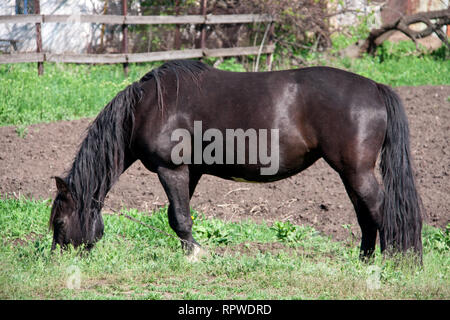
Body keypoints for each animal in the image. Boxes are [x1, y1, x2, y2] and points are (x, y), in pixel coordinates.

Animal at [51, 59, 424, 260]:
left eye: (59, 223)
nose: (56, 260)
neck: (148, 106)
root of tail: (374, 87)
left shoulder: (171, 169)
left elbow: (180, 218)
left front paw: (194, 256)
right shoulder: (190, 171)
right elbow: (178, 215)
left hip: (357, 172)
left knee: (383, 212)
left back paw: (398, 262)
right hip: (350, 174)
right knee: (367, 217)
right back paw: (366, 262)